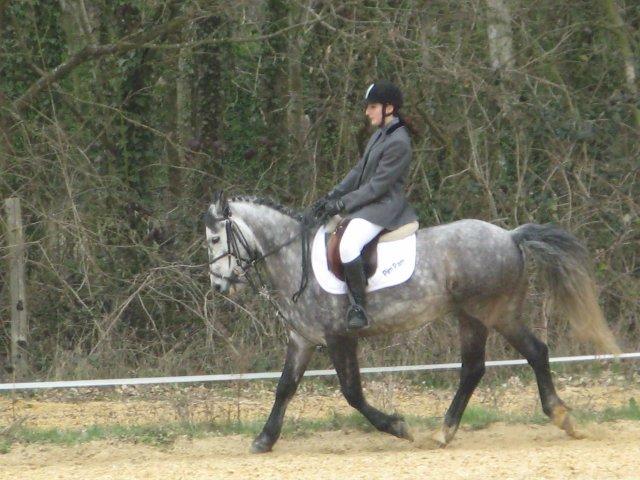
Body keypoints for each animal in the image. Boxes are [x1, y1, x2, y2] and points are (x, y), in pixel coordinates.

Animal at [204, 192, 619, 453]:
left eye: (214, 239)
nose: (219, 285)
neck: (294, 258)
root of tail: (510, 235)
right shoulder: (303, 339)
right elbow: (284, 388)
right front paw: (264, 440)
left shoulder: (339, 338)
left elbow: (352, 393)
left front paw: (398, 427)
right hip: (471, 317)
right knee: (474, 369)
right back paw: (445, 433)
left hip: (494, 313)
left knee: (535, 352)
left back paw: (561, 417)